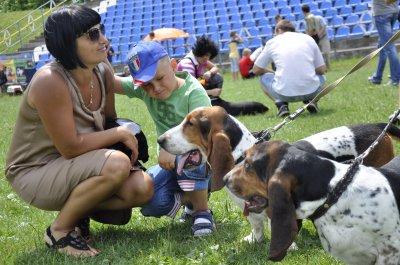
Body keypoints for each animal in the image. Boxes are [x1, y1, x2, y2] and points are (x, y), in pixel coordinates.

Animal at [158, 106, 400, 242]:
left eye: (190, 124)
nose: (159, 140)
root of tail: (379, 125)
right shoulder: (252, 210)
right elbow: (257, 225)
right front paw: (254, 240)